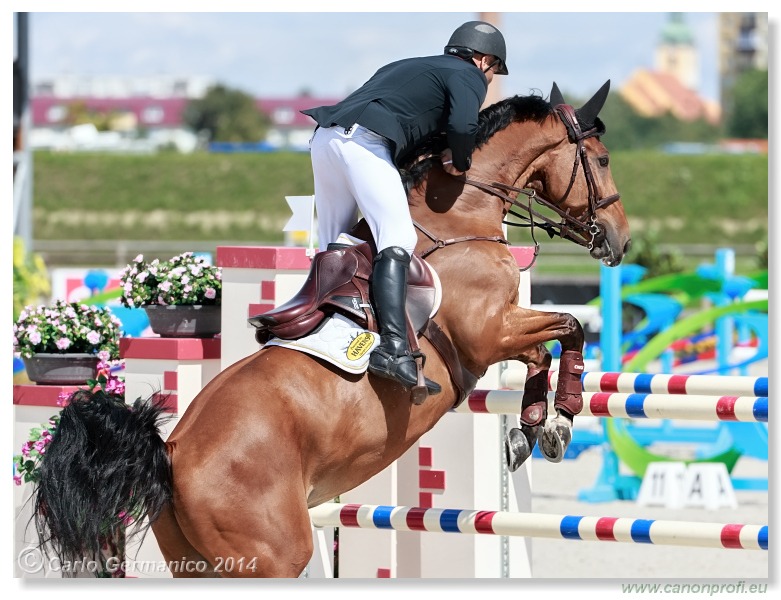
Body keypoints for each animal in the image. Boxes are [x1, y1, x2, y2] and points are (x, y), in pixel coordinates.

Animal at [32, 81, 628, 576]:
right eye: (601, 159)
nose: (619, 241)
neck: (458, 218)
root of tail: (170, 454)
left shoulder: (502, 332)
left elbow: (545, 351)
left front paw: (533, 430)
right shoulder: (488, 333)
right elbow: (569, 328)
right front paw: (561, 419)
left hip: (198, 565)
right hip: (273, 557)